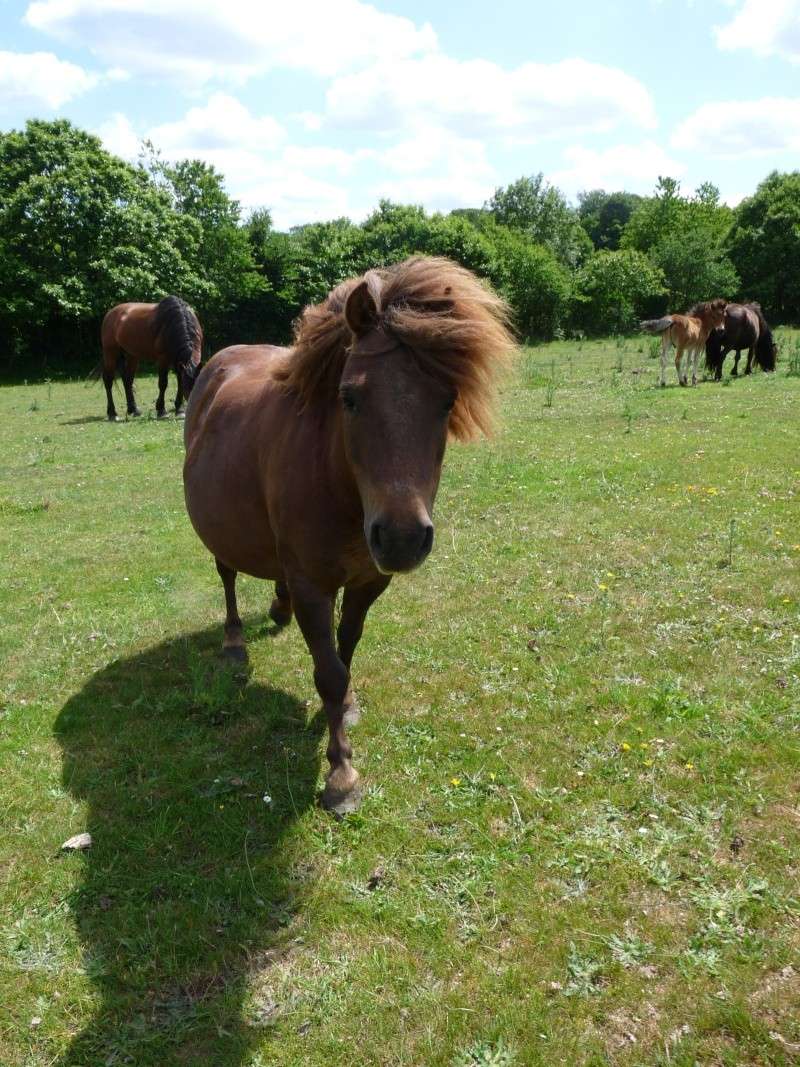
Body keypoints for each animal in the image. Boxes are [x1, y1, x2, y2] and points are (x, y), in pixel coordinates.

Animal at [184, 258, 516, 815]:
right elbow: (329, 672)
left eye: (447, 400)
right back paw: (233, 643)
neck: (338, 483)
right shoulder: (314, 585)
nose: (402, 538)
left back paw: (278, 609)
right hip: (219, 533)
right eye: (349, 397)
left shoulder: (367, 580)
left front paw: (349, 706)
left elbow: (348, 647)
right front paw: (341, 773)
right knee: (226, 574)